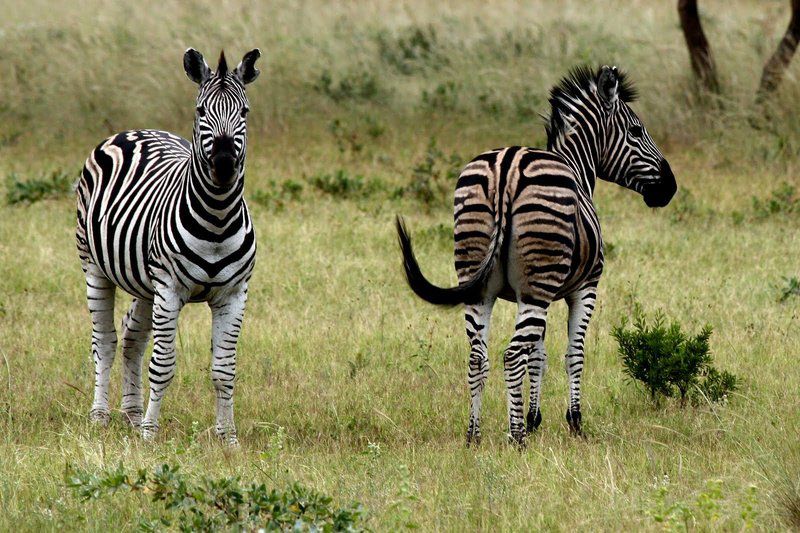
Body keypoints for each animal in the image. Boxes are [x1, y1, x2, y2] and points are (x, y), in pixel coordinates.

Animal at [74, 47, 260, 442]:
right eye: (201, 111)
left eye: (244, 112)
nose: (224, 164)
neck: (218, 218)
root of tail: (134, 130)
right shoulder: (171, 289)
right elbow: (162, 365)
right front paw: (150, 433)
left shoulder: (234, 294)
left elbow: (224, 371)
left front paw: (228, 438)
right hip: (95, 267)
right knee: (105, 342)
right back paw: (100, 415)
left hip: (147, 286)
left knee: (131, 338)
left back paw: (130, 414)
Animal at [394, 64, 676, 442]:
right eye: (636, 130)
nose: (670, 187)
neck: (576, 167)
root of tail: (507, 168)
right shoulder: (584, 289)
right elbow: (573, 353)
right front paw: (573, 421)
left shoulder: (531, 295)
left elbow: (538, 354)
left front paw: (534, 417)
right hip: (539, 282)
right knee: (512, 355)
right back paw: (516, 438)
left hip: (480, 281)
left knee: (478, 356)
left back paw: (474, 435)